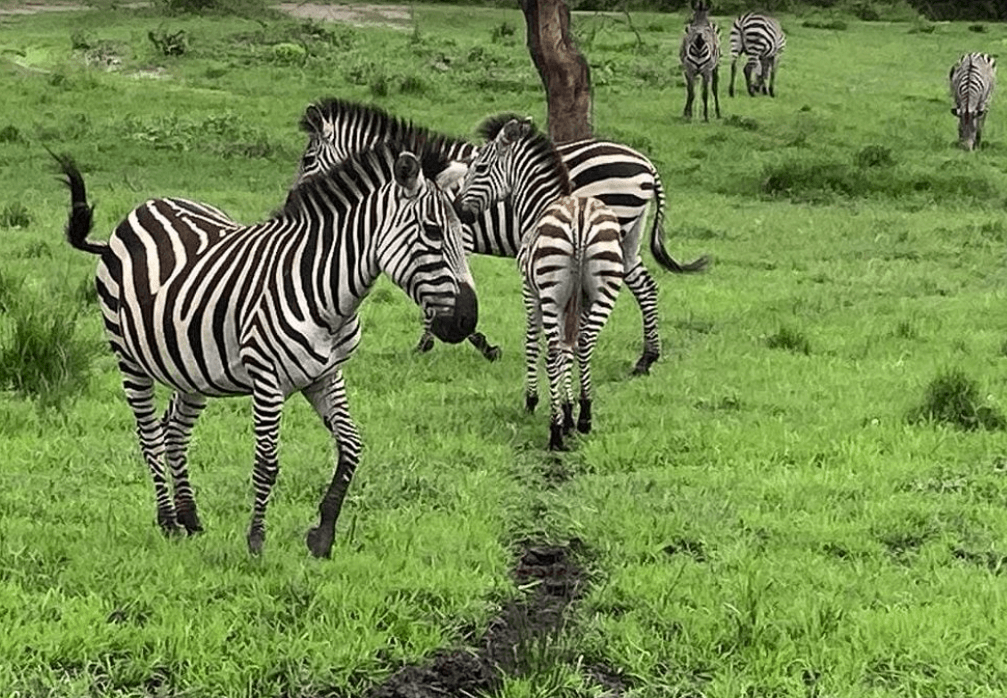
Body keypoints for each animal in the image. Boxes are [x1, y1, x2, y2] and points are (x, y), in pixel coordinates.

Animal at [53, 138, 477, 560]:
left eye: (463, 233)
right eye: (433, 231)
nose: (467, 321)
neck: (328, 296)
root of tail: (139, 211)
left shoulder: (326, 375)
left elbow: (352, 447)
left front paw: (322, 535)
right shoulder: (267, 378)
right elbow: (268, 463)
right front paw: (256, 540)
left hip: (191, 366)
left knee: (174, 430)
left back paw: (189, 516)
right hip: (129, 358)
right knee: (150, 436)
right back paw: (169, 521)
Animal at [294, 98, 712, 376]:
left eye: (307, 160)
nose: (293, 200)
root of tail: (646, 164)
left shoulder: (451, 235)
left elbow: (439, 291)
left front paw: (459, 341)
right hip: (627, 236)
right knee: (646, 287)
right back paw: (646, 358)